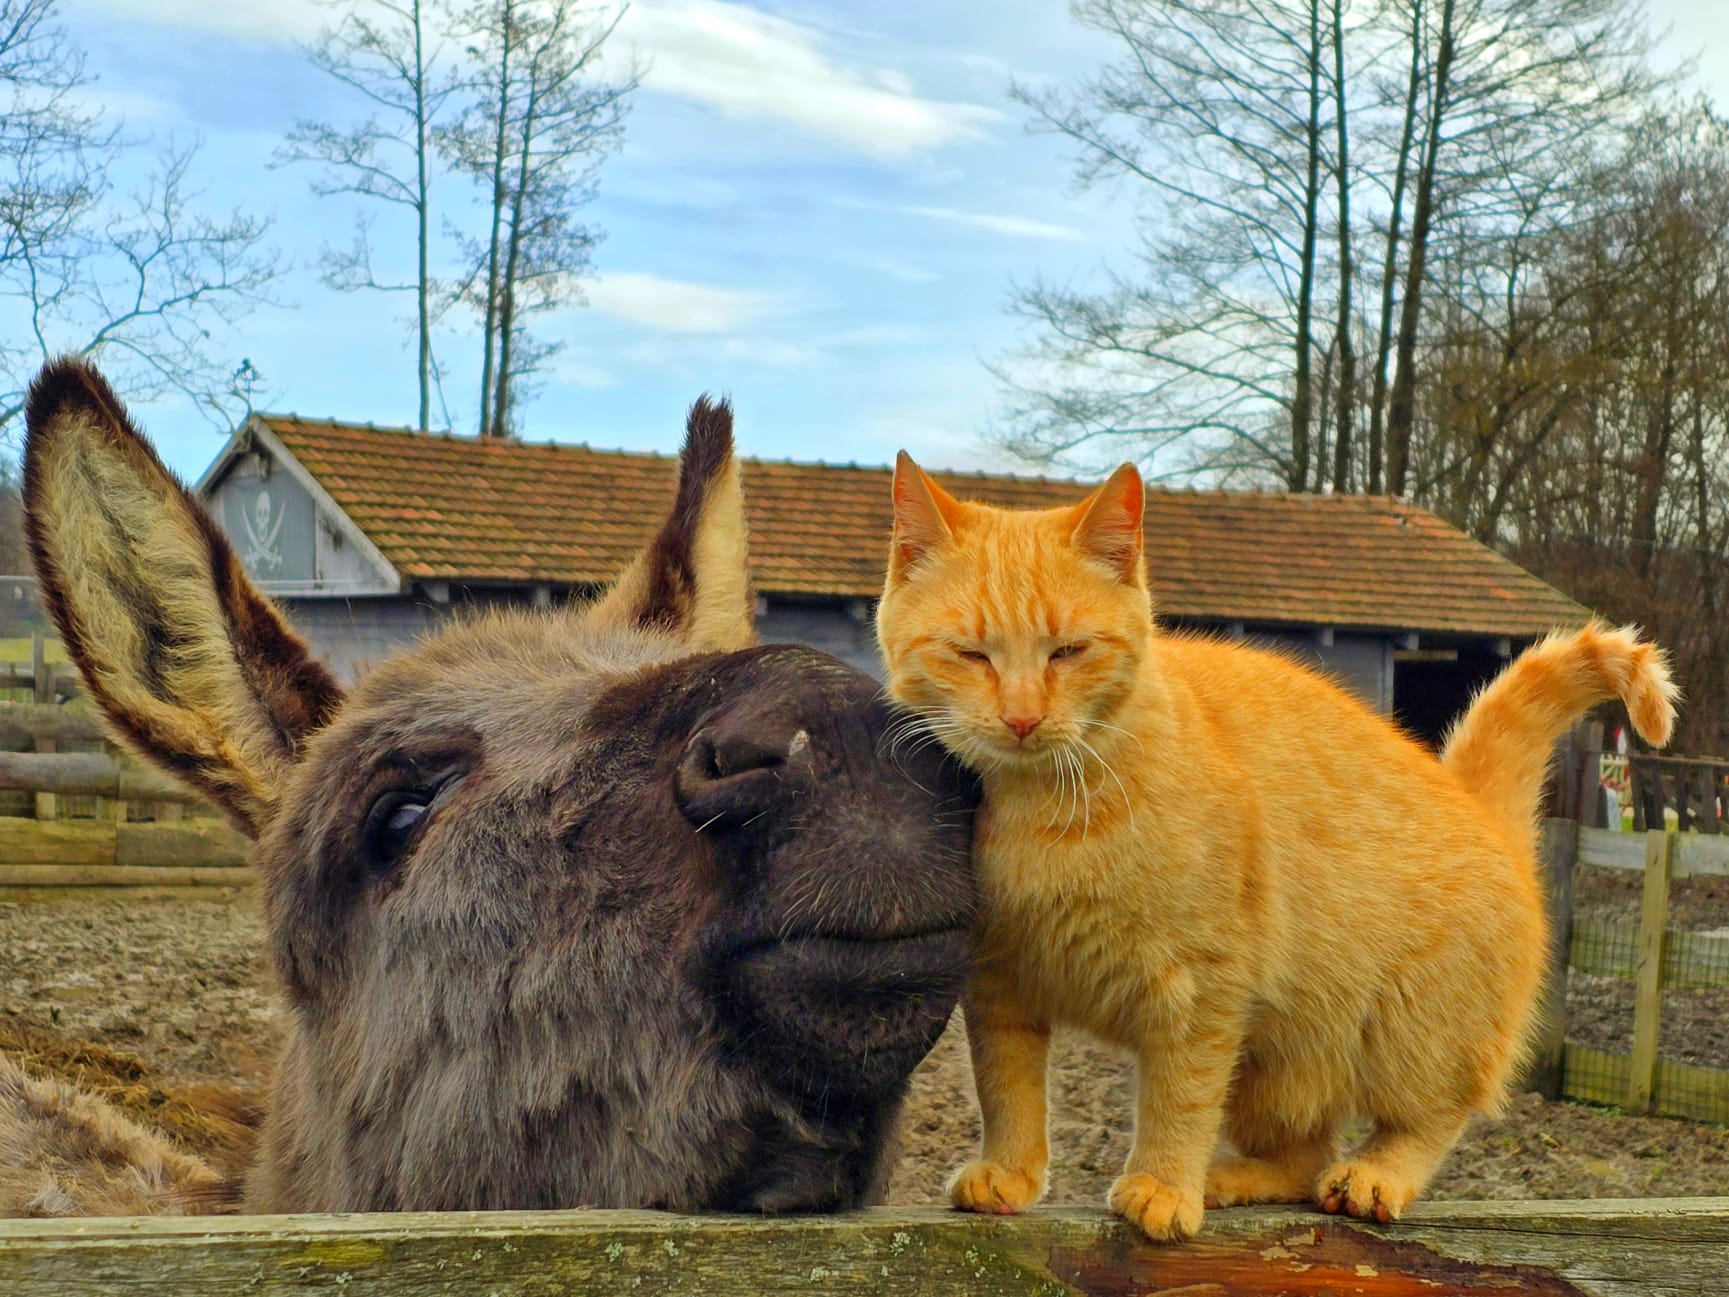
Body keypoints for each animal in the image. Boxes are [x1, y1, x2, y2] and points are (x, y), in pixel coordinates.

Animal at [874, 452, 1677, 1242]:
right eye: (971, 653)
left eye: (1068, 650)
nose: (1021, 718)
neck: (1040, 813)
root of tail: (1472, 798)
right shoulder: (999, 983)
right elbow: (1007, 1086)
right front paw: (1009, 1173)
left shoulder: (1201, 989)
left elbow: (1178, 1097)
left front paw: (1164, 1186)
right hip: (1274, 1070)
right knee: (1301, 1154)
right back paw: (1228, 1178)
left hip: (1412, 1035)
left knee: (1428, 1118)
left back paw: (1369, 1177)